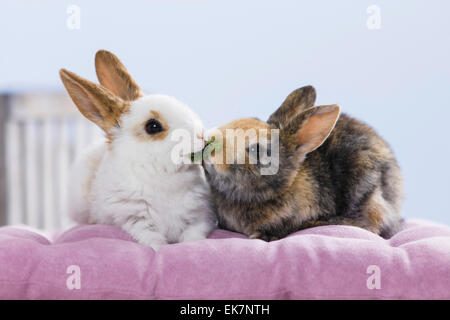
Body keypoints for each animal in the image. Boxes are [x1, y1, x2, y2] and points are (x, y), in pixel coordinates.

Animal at [59, 50, 216, 250]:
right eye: (153, 126)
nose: (201, 136)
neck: (163, 177)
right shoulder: (135, 219)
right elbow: (152, 240)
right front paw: (161, 248)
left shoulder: (201, 215)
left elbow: (194, 235)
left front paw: (190, 245)